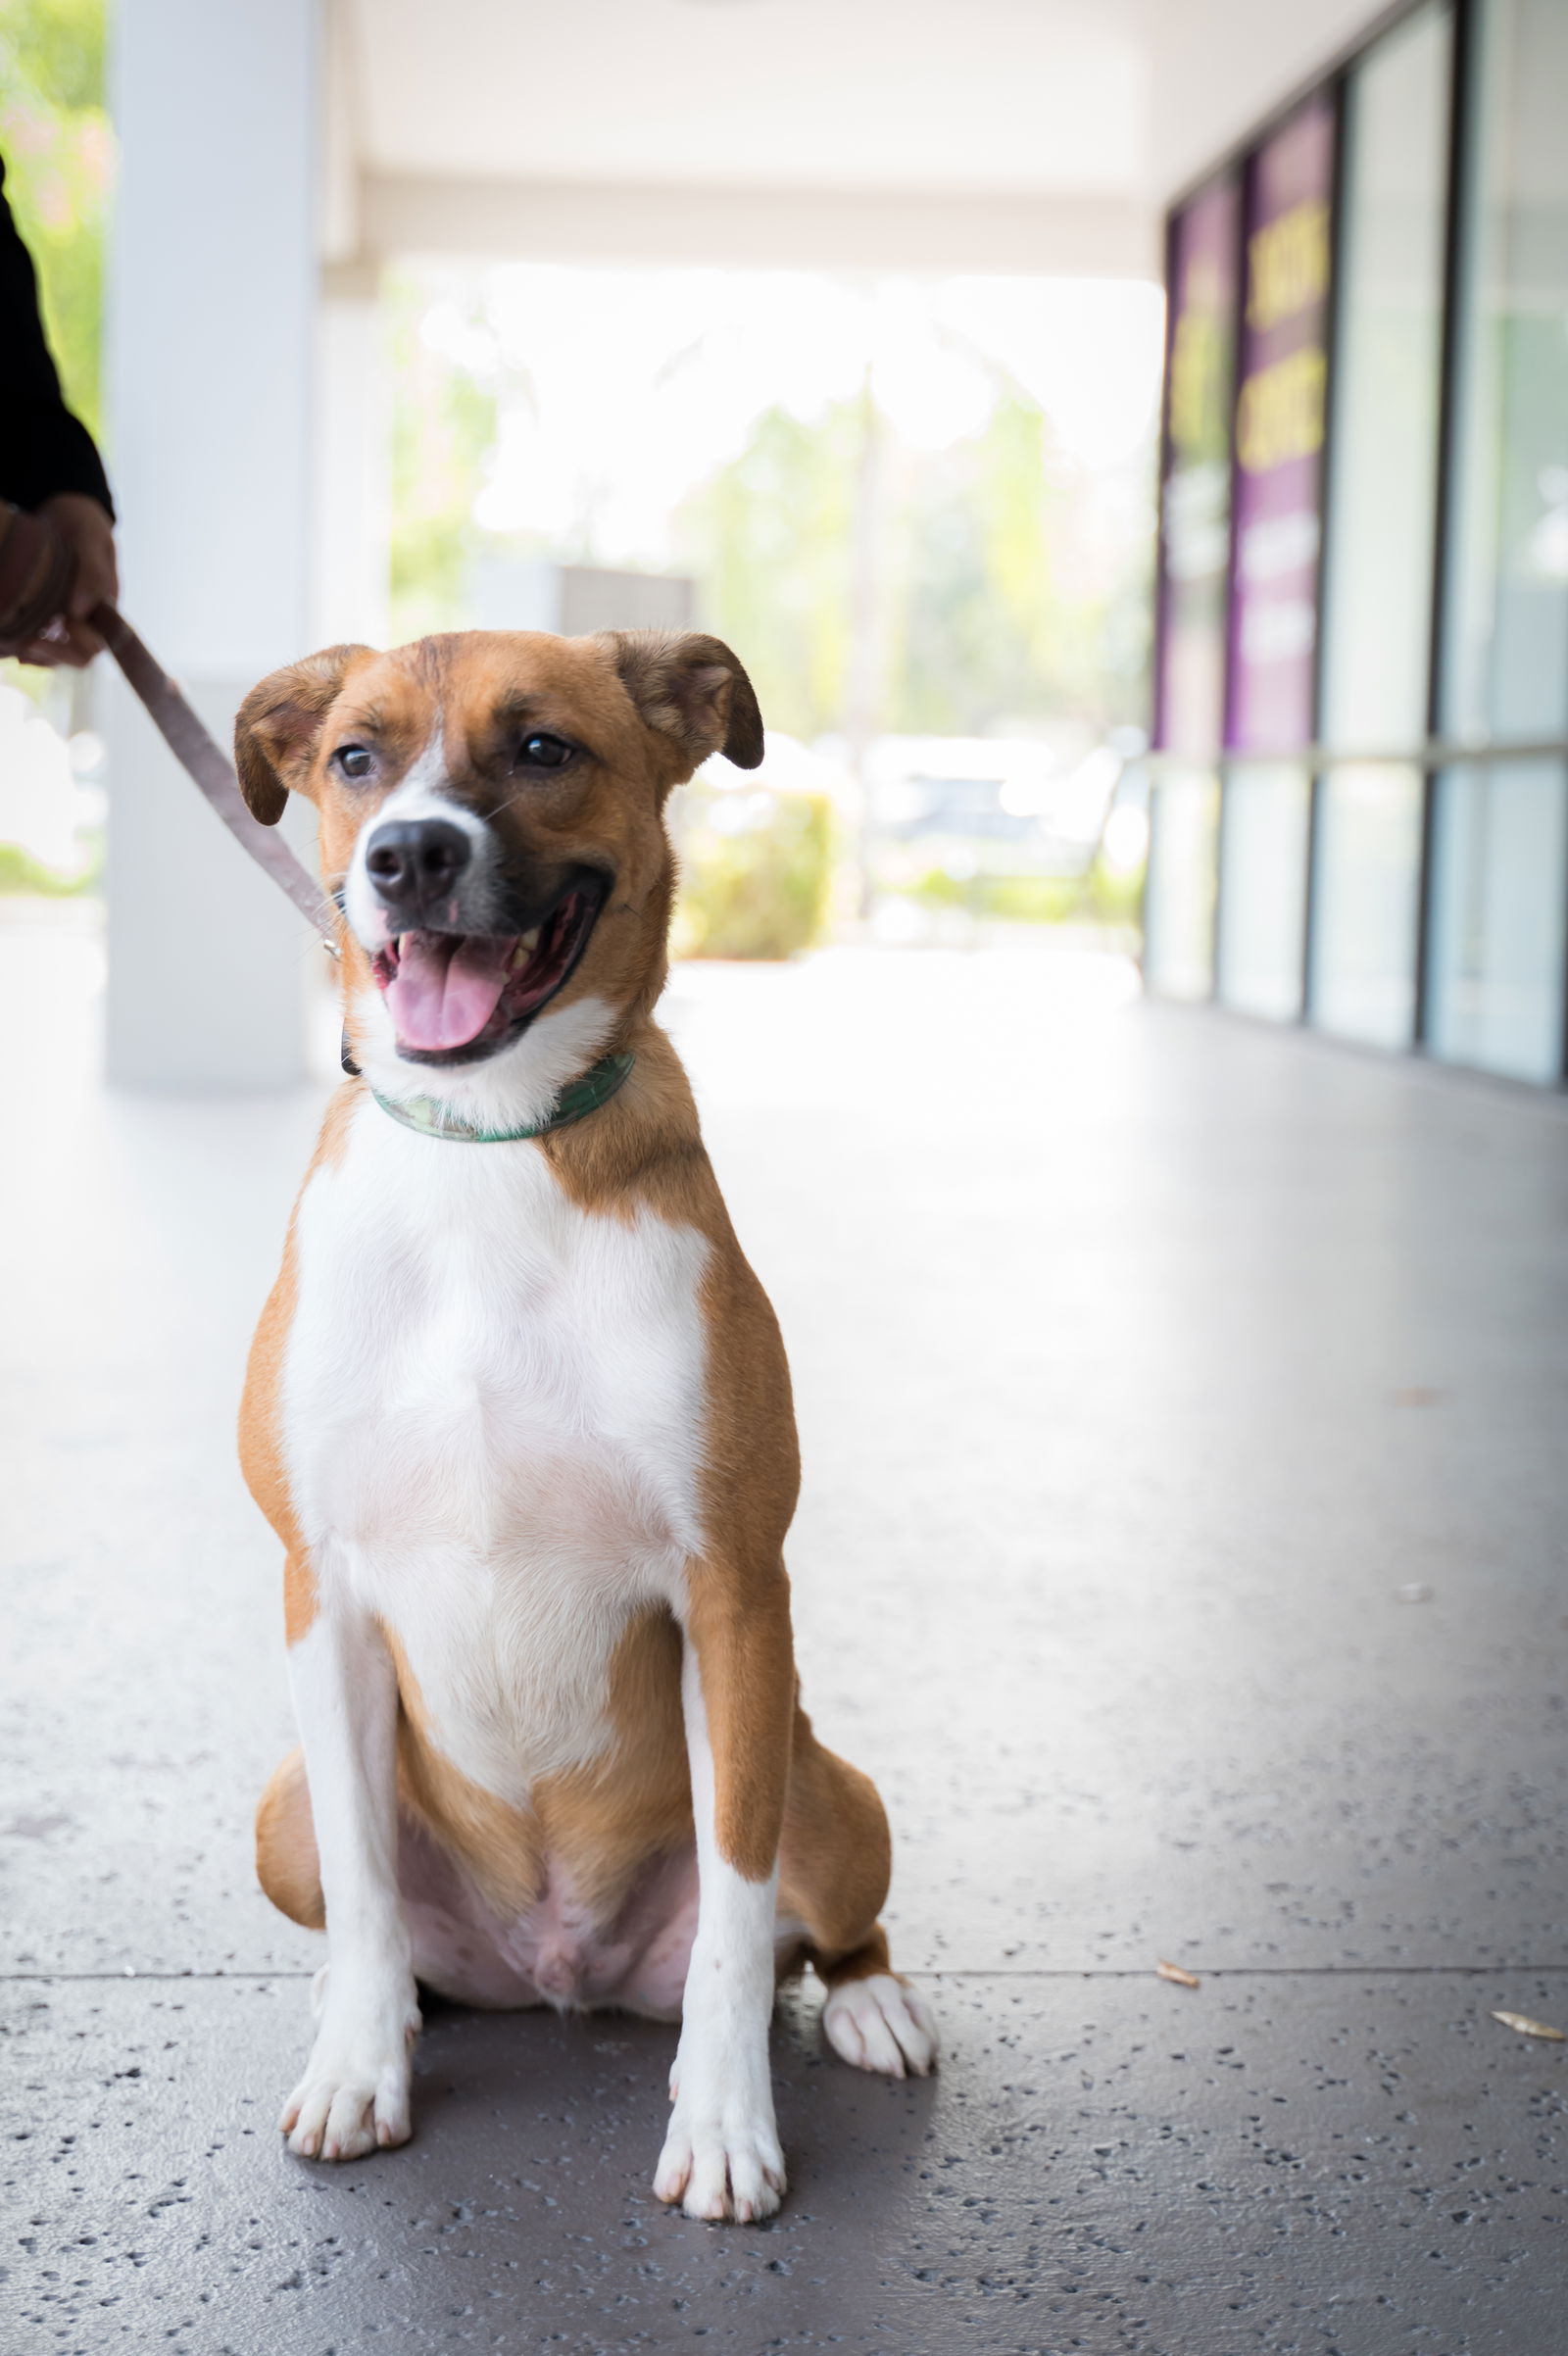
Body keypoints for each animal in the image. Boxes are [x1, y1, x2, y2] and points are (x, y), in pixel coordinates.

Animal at [235, 631, 927, 2224]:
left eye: (544, 748)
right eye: (355, 757)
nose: (409, 856)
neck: (491, 1144)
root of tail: (564, 1970)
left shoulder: (734, 1594)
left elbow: (737, 1916)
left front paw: (726, 2126)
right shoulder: (322, 1590)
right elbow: (366, 1895)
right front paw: (359, 2066)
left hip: (834, 1789)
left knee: (824, 1925)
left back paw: (869, 2003)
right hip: (280, 1812)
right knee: (368, 1905)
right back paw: (396, 2010)